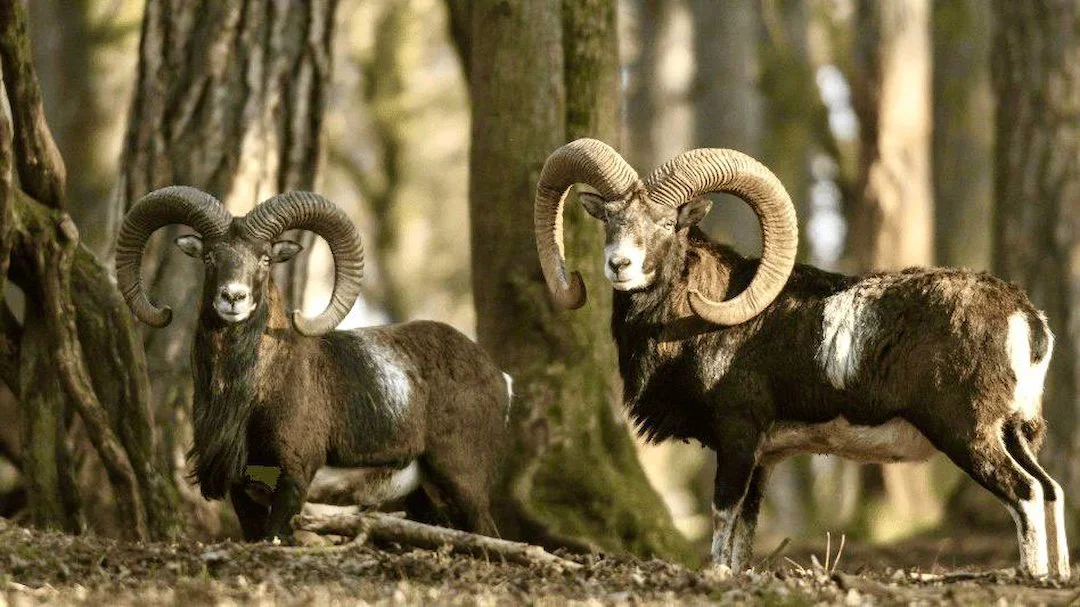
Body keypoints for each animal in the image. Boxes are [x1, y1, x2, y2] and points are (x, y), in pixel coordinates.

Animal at [115, 186, 511, 542]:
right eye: (211, 257)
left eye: (264, 259)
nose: (232, 297)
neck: (251, 393)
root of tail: (501, 379)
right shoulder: (241, 488)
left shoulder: (295, 476)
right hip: (422, 498)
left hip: (463, 482)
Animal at [533, 138, 1070, 579]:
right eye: (610, 219)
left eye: (666, 223)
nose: (618, 265)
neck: (696, 322)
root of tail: (1026, 318)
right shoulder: (765, 456)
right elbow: (745, 530)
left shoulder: (738, 436)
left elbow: (722, 514)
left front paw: (716, 576)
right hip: (1015, 433)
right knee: (1051, 490)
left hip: (968, 434)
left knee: (1024, 494)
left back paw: (1033, 576)